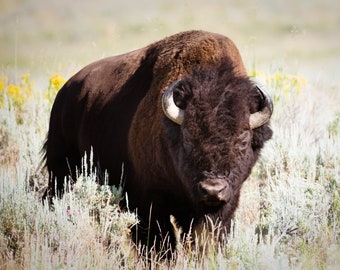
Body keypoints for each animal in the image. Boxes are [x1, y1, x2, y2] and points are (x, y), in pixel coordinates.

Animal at [43, 30, 274, 253]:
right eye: (188, 138)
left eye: (243, 141)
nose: (212, 189)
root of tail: (66, 91)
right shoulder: (148, 201)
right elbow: (160, 240)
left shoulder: (225, 203)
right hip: (62, 169)